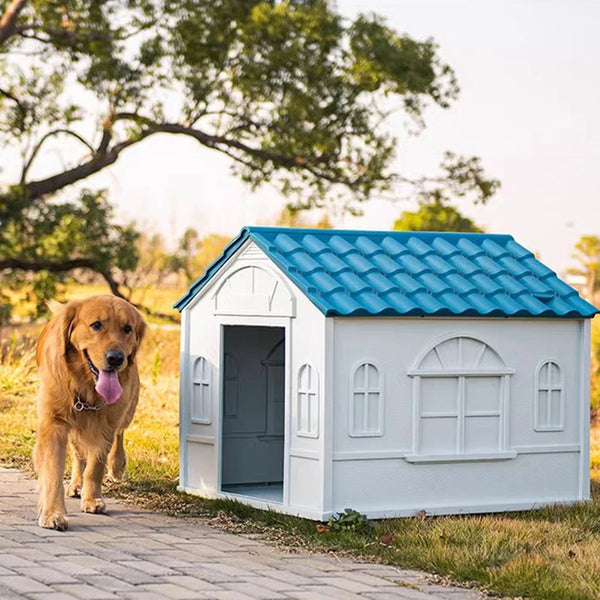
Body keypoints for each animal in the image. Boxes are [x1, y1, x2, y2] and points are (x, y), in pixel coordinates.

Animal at [34, 296, 145, 528]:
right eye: (96, 325)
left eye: (127, 329)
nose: (116, 358)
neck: (84, 386)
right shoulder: (54, 423)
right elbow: (53, 471)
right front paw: (53, 513)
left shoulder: (105, 426)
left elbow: (96, 466)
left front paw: (93, 498)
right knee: (78, 455)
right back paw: (76, 484)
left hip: (127, 409)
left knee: (119, 434)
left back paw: (116, 465)